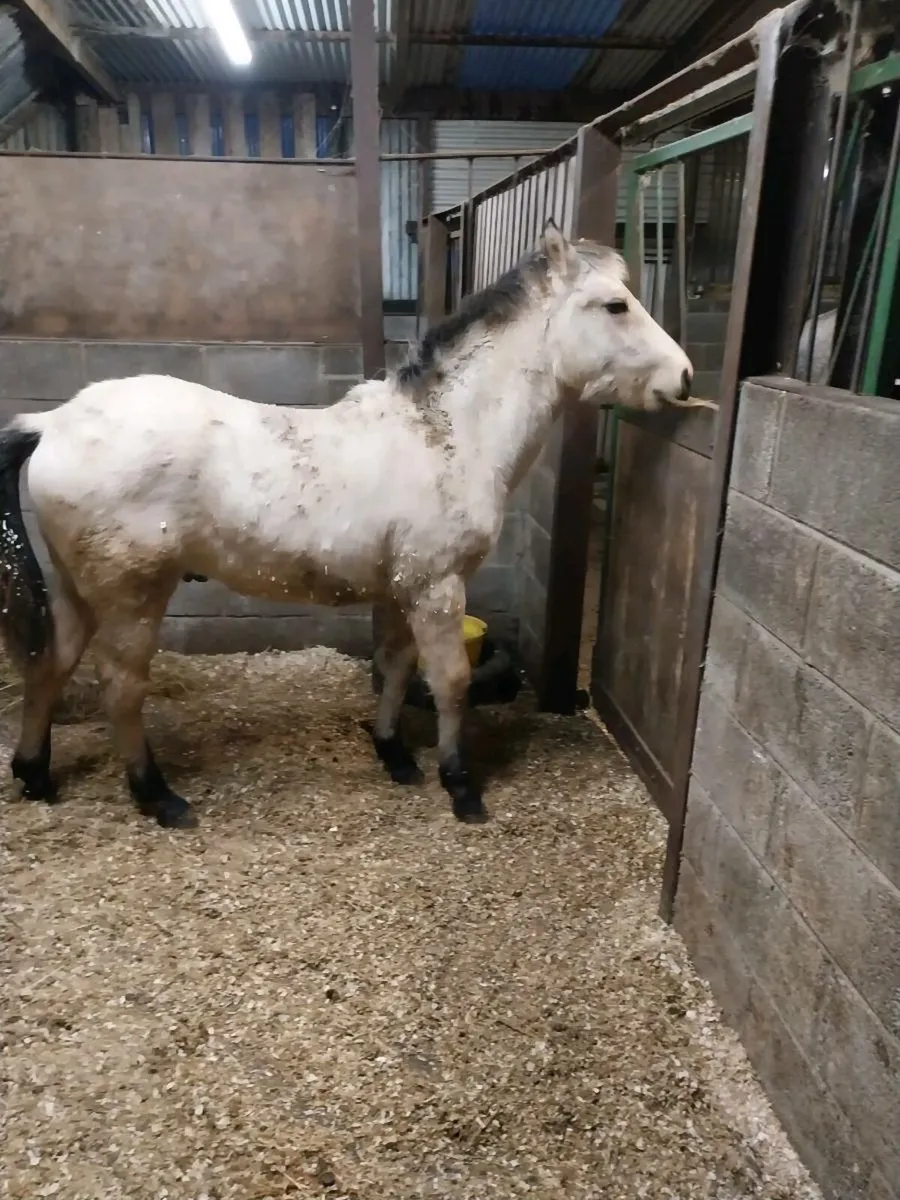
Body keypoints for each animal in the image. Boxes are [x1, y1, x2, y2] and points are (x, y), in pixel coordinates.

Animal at [0, 221, 694, 830]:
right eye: (614, 305)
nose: (684, 378)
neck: (448, 434)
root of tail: (53, 423)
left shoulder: (404, 590)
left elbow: (396, 666)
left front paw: (393, 754)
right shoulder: (438, 588)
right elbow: (450, 682)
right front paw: (460, 786)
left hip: (79, 588)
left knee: (51, 664)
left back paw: (35, 774)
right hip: (132, 597)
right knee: (120, 688)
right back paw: (157, 797)